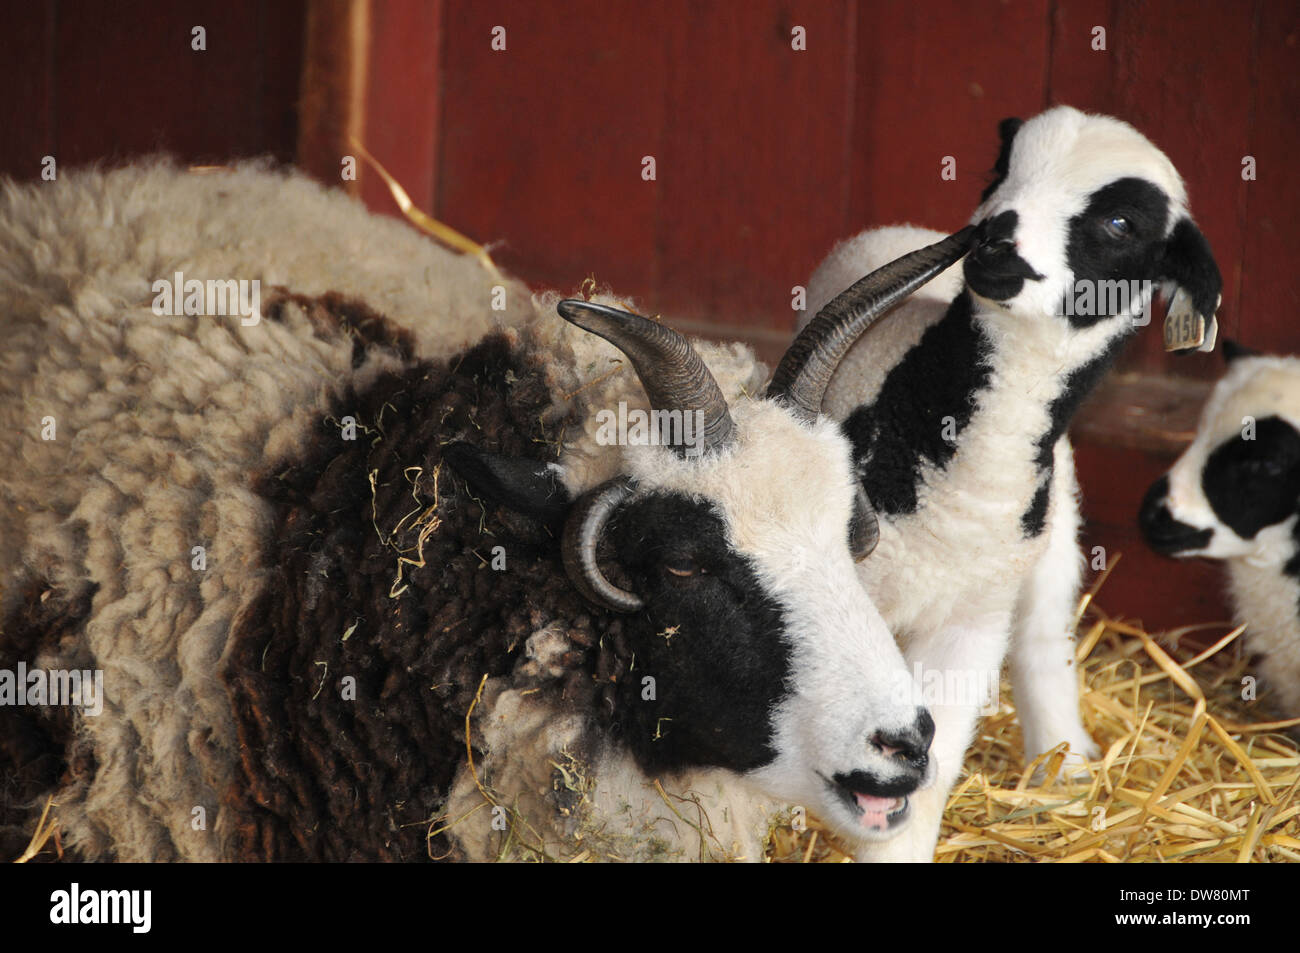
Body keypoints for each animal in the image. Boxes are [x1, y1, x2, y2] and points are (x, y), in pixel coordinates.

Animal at [788, 105, 1224, 860]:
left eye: (1121, 224)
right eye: (1002, 168)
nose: (996, 237)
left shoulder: (969, 622)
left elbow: (927, 769)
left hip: (1053, 530)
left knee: (1045, 633)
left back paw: (1065, 767)